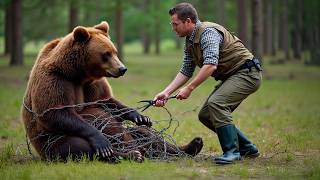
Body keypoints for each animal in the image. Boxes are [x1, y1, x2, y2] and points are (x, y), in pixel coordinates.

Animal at [21, 21, 202, 162]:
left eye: (115, 51)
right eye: (106, 54)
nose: (122, 68)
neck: (77, 73)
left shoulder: (91, 84)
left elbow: (105, 100)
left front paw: (140, 116)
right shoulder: (56, 80)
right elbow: (56, 112)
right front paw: (102, 142)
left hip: (133, 135)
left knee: (146, 134)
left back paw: (190, 145)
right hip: (53, 143)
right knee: (80, 147)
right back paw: (127, 154)